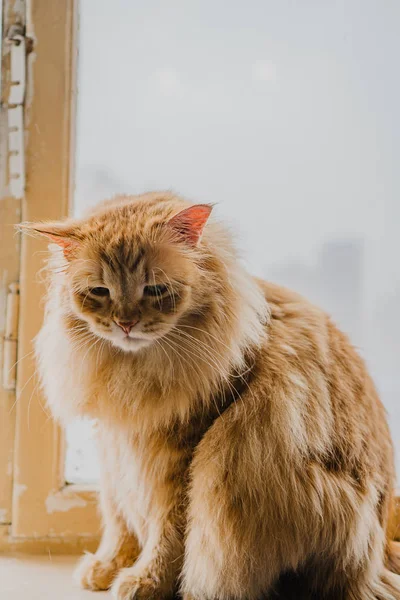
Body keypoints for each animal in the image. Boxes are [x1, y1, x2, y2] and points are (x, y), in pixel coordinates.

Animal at [20, 193, 398, 600]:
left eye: (154, 289)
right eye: (100, 292)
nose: (125, 323)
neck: (133, 373)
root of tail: (377, 561)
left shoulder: (181, 458)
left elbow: (168, 534)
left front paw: (146, 580)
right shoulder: (114, 445)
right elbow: (118, 518)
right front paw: (108, 565)